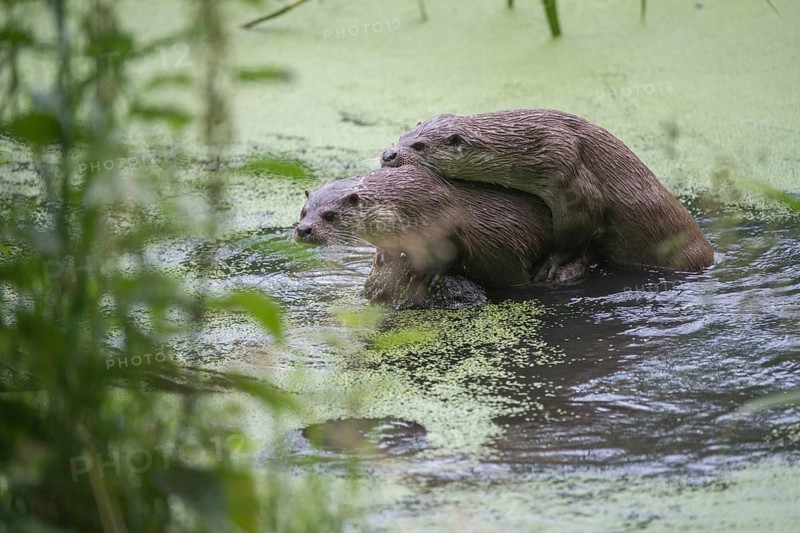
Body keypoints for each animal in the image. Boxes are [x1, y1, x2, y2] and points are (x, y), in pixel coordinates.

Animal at [293, 165, 587, 297]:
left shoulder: (447, 221)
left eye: (330, 216)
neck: (405, 202)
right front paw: (383, 257)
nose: (304, 230)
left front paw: (426, 274)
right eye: (303, 211)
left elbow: (453, 252)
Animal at [380, 109, 714, 280]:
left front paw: (551, 264)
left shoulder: (567, 167)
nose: (388, 154)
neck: (529, 144)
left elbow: (581, 224)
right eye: (401, 137)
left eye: (419, 146)